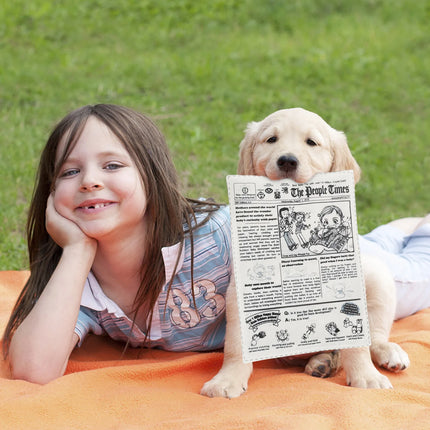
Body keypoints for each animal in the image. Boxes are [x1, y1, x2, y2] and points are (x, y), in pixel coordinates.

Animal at [202, 108, 410, 400]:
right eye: (271, 139)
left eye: (311, 142)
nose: (287, 160)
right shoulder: (239, 294)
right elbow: (235, 345)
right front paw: (227, 380)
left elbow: (358, 344)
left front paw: (366, 377)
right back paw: (322, 362)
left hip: (378, 278)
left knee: (375, 336)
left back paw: (387, 353)